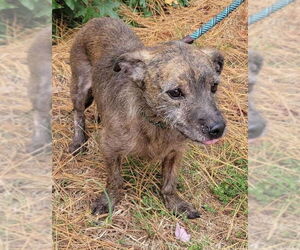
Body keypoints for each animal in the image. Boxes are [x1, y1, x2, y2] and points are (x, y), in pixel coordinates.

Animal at [69, 17, 226, 219]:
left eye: (214, 86)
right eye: (175, 92)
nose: (218, 129)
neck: (156, 123)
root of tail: (99, 19)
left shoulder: (176, 151)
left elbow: (170, 182)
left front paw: (175, 203)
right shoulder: (109, 148)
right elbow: (115, 180)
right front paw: (109, 200)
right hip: (81, 88)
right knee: (78, 113)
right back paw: (78, 140)